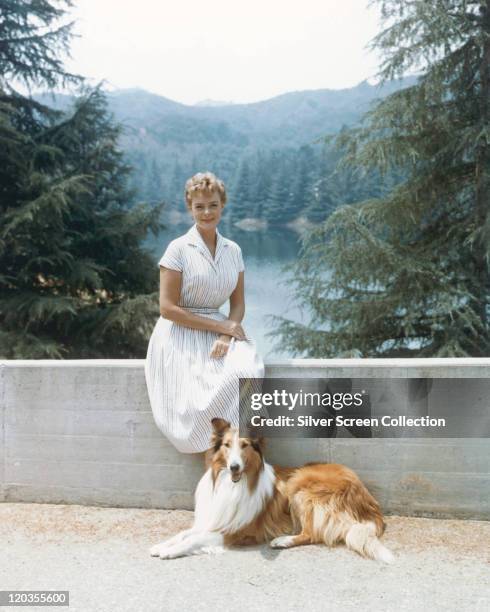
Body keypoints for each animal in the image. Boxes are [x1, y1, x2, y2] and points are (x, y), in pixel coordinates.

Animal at [149, 418, 394, 560]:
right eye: (227, 445)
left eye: (245, 445)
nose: (234, 466)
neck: (232, 484)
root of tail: (367, 499)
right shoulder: (212, 520)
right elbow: (184, 534)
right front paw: (161, 545)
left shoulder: (236, 531)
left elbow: (193, 539)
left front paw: (169, 551)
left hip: (300, 485)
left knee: (312, 534)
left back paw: (282, 540)